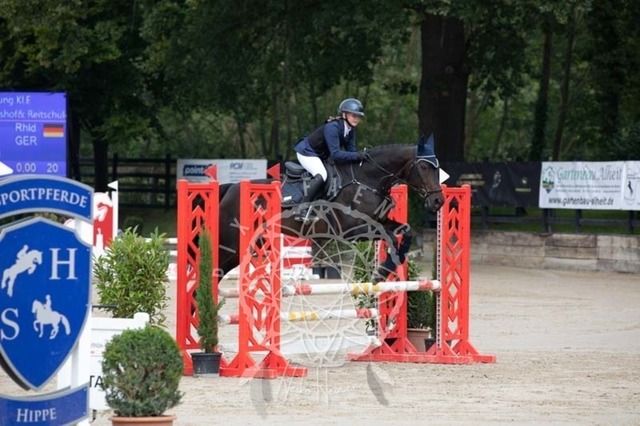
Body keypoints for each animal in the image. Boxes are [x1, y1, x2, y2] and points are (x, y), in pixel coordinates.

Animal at [215, 134, 445, 282]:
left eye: (437, 168)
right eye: (424, 167)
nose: (438, 201)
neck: (368, 179)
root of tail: (231, 187)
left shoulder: (380, 221)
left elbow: (406, 232)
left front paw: (387, 269)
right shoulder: (353, 231)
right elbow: (390, 236)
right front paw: (381, 272)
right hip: (231, 241)